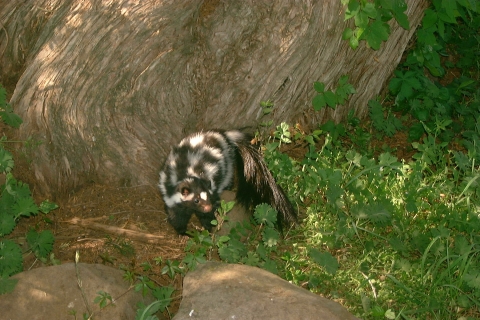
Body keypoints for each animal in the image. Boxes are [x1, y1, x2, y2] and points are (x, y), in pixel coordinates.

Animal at [158, 129, 296, 235]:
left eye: (207, 196)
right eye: (196, 200)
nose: (208, 207)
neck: (188, 175)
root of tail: (223, 135)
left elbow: (207, 216)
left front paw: (208, 228)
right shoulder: (172, 196)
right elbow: (177, 215)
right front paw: (183, 232)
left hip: (227, 162)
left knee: (228, 176)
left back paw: (228, 187)